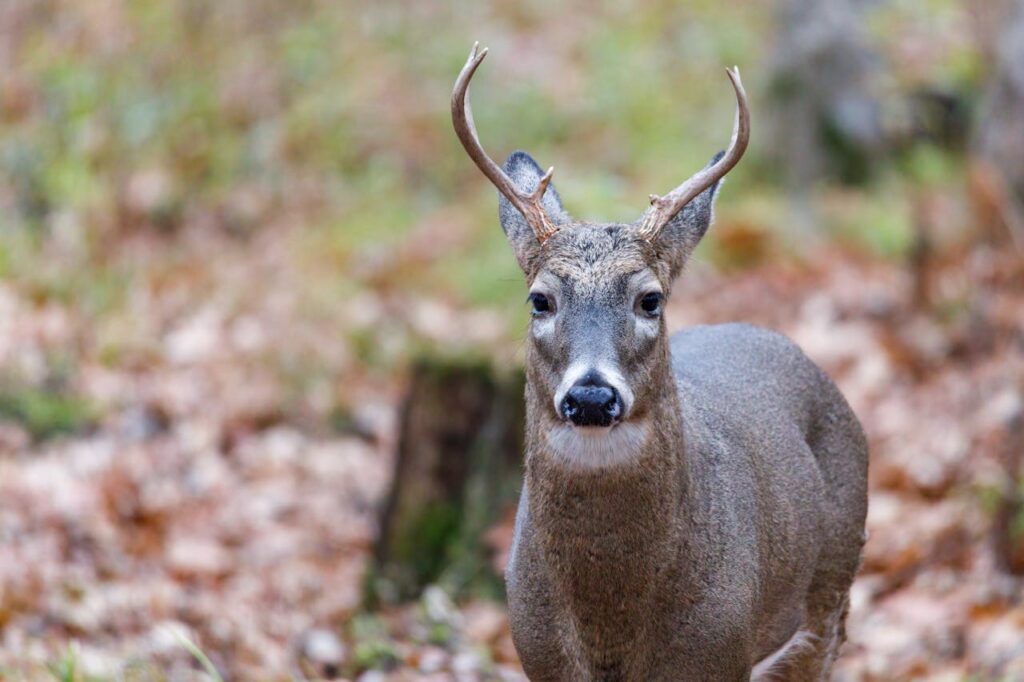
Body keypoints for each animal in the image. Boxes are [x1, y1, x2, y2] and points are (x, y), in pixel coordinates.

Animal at [452, 43, 868, 679]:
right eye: (539, 299)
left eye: (650, 299)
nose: (592, 396)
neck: (608, 631)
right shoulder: (538, 654)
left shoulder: (718, 653)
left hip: (831, 590)